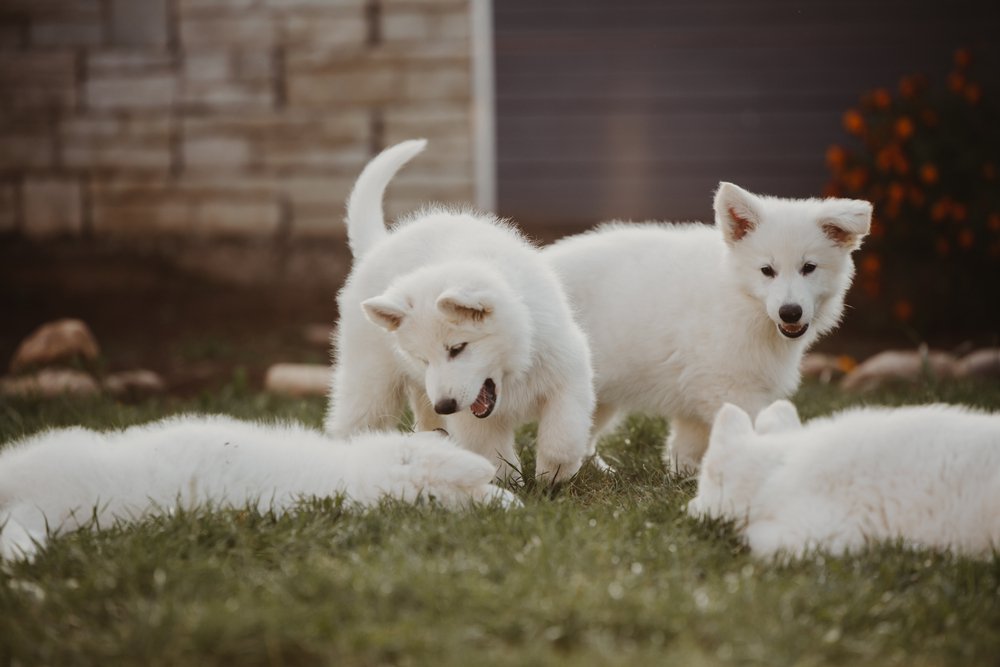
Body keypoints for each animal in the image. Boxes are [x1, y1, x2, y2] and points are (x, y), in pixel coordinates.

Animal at [326, 140, 592, 486]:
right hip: (371, 382)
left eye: (457, 348)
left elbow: (564, 432)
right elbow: (492, 451)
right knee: (355, 421)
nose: (446, 406)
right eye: (423, 359)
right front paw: (507, 485)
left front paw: (554, 475)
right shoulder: (474, 419)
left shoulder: (568, 370)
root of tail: (380, 244)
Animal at [544, 185, 872, 472]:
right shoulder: (730, 386)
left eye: (809, 268)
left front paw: (685, 476)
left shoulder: (699, 394)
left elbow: (688, 445)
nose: (790, 313)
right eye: (767, 271)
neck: (739, 298)